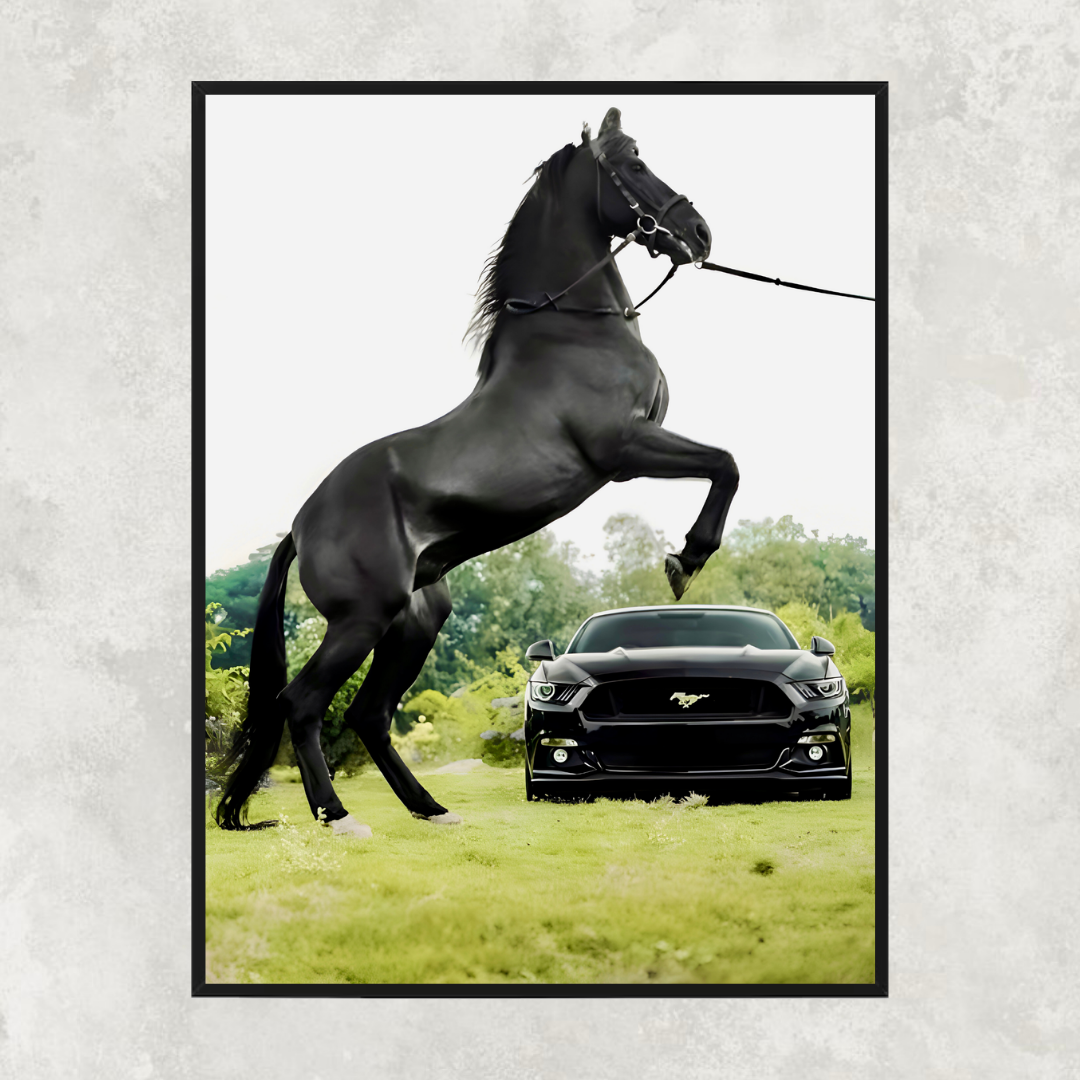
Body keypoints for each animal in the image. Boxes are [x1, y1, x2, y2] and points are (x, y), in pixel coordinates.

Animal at [215, 107, 737, 836]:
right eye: (633, 162)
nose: (698, 233)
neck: (575, 329)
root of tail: (302, 524)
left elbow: (724, 464)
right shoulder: (626, 450)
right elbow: (725, 464)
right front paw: (685, 560)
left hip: (414, 622)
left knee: (368, 714)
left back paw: (432, 810)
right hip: (362, 621)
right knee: (303, 703)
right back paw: (339, 816)